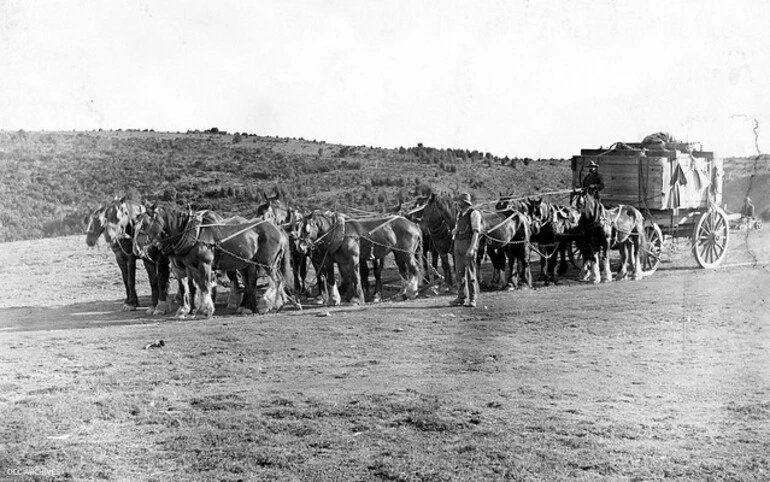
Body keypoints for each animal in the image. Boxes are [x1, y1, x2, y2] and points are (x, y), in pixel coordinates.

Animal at [134, 206, 292, 316]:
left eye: (144, 225)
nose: (137, 248)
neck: (192, 233)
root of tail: (276, 228)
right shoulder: (189, 267)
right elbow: (192, 287)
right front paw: (190, 310)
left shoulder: (204, 264)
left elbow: (204, 285)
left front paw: (205, 310)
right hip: (252, 262)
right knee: (260, 281)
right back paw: (262, 305)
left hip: (267, 263)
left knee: (275, 281)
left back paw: (267, 304)